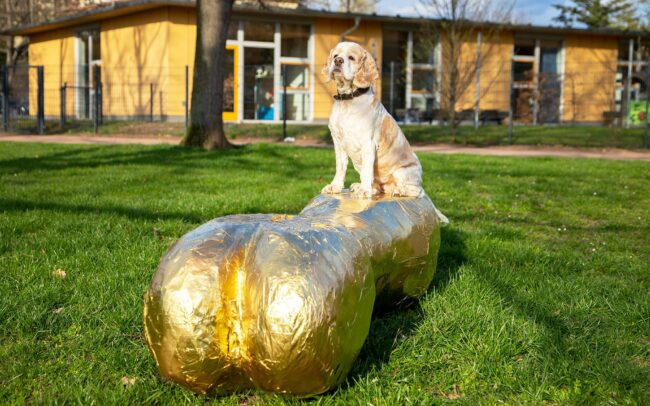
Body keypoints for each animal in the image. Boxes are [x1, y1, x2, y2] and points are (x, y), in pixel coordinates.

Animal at [320, 42, 422, 199]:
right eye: (336, 55)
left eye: (351, 57)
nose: (337, 61)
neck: (348, 102)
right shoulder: (338, 143)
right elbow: (340, 167)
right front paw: (335, 186)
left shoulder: (368, 143)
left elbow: (367, 171)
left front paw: (364, 191)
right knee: (378, 187)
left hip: (403, 172)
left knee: (416, 191)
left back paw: (398, 190)